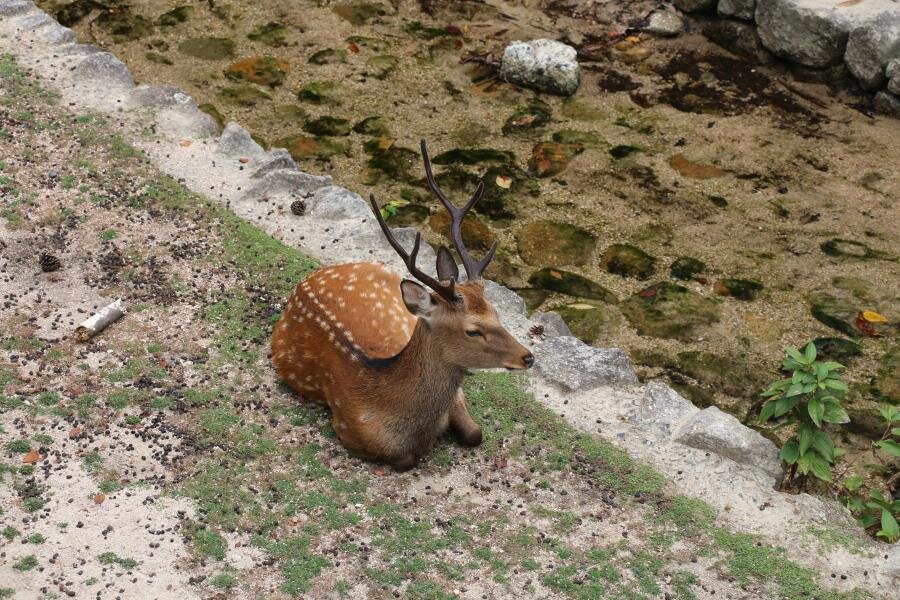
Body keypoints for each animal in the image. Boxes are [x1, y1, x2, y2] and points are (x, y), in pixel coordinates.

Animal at [270, 139, 532, 468]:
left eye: (497, 312)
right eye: (472, 330)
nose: (528, 357)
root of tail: (307, 281)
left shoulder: (457, 399)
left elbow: (475, 433)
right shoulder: (349, 431)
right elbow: (406, 459)